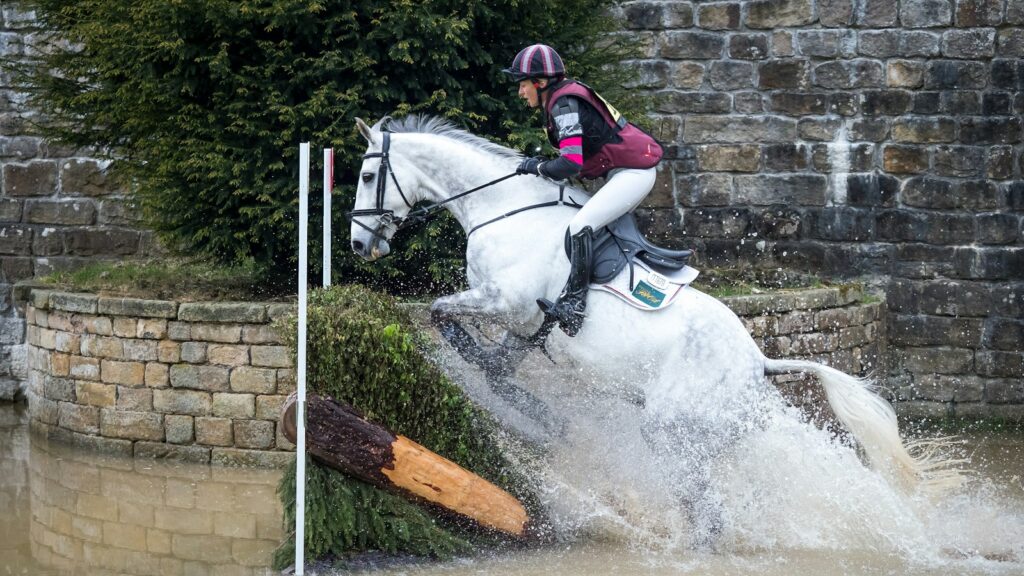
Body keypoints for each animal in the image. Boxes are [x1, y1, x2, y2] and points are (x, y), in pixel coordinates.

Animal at [347, 114, 960, 545]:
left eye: (368, 175)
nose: (356, 244)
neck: (500, 208)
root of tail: (757, 363)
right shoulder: (524, 326)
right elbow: (497, 369)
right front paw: (536, 414)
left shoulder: (504, 302)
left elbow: (441, 314)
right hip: (718, 434)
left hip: (671, 431)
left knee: (708, 513)